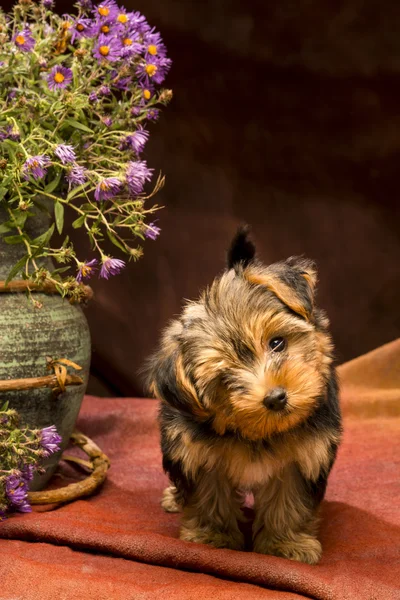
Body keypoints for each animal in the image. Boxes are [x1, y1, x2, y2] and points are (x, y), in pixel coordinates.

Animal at [146, 227, 340, 564]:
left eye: (277, 343)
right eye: (225, 378)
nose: (275, 397)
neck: (259, 433)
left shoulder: (303, 457)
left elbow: (288, 502)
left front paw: (284, 543)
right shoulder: (198, 454)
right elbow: (210, 495)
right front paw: (213, 535)